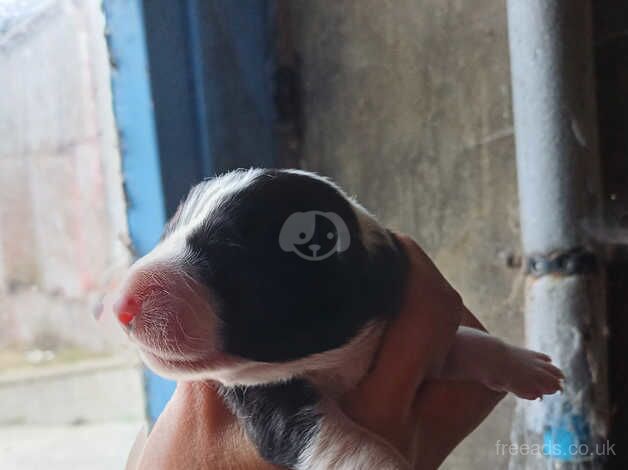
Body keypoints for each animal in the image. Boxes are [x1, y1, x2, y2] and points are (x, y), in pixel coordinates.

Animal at [114, 170, 564, 470]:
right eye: (169, 232)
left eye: (229, 252)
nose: (119, 303)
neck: (335, 361)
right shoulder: (265, 398)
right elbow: (346, 446)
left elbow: (460, 342)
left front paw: (523, 364)